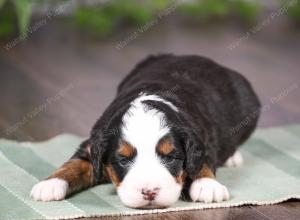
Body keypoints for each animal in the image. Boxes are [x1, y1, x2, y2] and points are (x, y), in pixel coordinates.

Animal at [29, 54, 260, 208]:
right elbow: (74, 164)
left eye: (170, 157)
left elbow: (202, 162)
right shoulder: (92, 144)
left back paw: (232, 157)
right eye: (123, 159)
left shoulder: (202, 137)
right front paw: (50, 184)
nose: (149, 192)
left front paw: (207, 185)